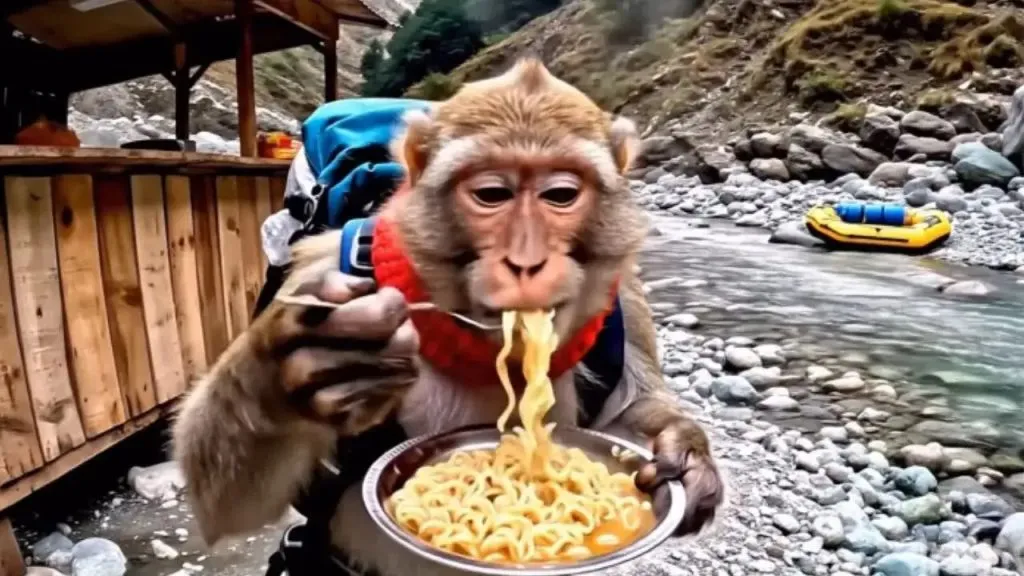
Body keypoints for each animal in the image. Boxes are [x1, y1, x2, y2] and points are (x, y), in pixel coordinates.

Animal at [171, 59, 724, 576]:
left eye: (561, 195)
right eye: (492, 194)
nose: (526, 262)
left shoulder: (623, 290)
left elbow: (631, 410)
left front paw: (687, 455)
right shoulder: (320, 268)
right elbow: (227, 505)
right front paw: (292, 365)